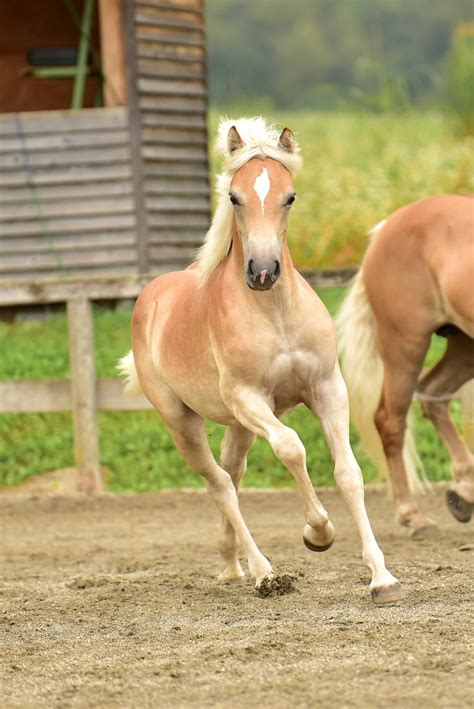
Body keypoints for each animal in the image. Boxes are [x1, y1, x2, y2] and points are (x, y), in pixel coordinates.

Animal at [120, 117, 402, 604]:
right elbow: (292, 447)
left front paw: (381, 577)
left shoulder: (328, 387)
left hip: (238, 427)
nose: (263, 271)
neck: (276, 315)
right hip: (183, 421)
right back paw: (264, 572)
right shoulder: (249, 398)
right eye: (235, 196)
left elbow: (348, 472)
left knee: (232, 474)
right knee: (219, 484)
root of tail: (149, 298)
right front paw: (318, 532)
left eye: (290, 196)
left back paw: (232, 566)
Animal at [336, 194, 474, 536]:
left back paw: (464, 491)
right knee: (390, 421)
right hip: (405, 346)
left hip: (464, 345)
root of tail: (386, 227)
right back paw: (413, 516)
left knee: (433, 395)